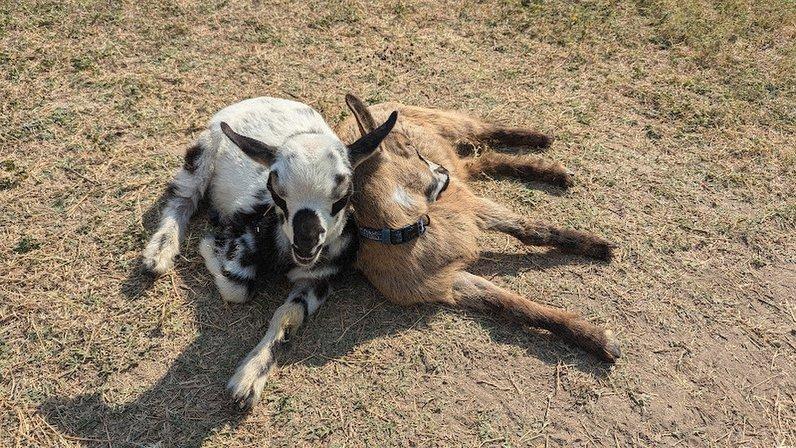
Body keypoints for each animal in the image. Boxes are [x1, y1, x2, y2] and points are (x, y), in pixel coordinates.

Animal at [141, 97, 395, 408]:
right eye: (276, 194)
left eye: (344, 197)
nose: (306, 244)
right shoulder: (245, 234)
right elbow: (236, 287)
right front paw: (213, 244)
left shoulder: (319, 279)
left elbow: (287, 316)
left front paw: (248, 379)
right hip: (202, 152)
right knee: (182, 199)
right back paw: (159, 253)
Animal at [338, 94, 621, 363]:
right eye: (410, 149)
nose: (441, 171)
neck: (413, 232)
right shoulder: (449, 280)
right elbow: (506, 303)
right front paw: (596, 338)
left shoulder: (475, 209)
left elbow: (530, 230)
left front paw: (597, 245)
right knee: (484, 160)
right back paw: (547, 169)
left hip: (444, 122)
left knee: (482, 130)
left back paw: (540, 140)